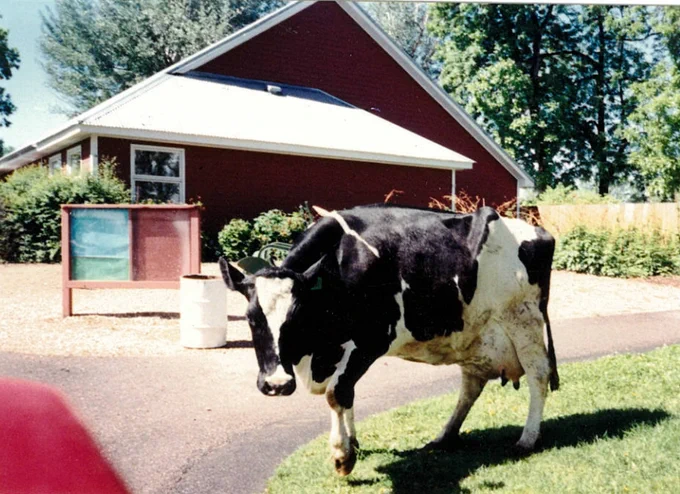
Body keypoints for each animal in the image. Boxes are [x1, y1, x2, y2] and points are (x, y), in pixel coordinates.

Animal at [218, 204, 559, 476]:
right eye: (251, 318)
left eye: (297, 316)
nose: (276, 384)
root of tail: (540, 232)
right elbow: (347, 392)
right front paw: (353, 442)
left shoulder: (373, 339)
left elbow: (337, 392)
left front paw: (343, 456)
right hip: (474, 333)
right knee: (471, 386)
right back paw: (444, 436)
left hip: (523, 321)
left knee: (538, 376)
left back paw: (527, 439)